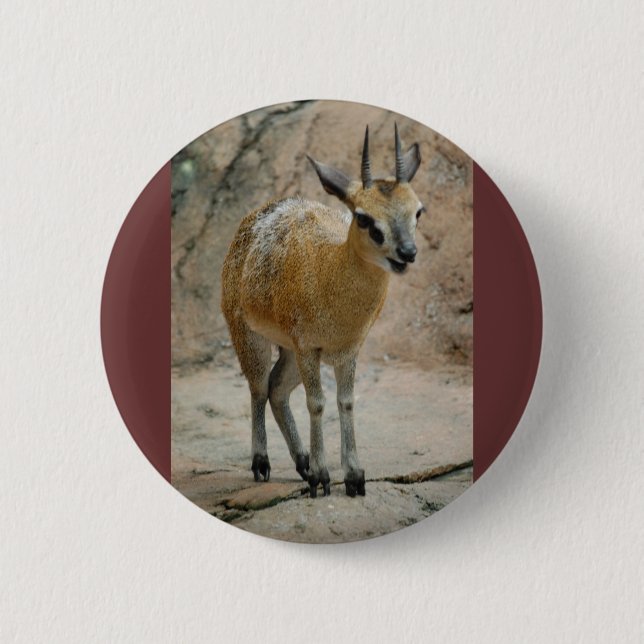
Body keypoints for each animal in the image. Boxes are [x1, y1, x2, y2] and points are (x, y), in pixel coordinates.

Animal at [221, 125, 424, 497]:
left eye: (418, 210)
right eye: (364, 217)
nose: (407, 252)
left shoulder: (348, 349)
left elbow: (346, 401)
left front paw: (354, 476)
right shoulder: (308, 347)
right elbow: (317, 403)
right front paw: (322, 476)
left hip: (287, 349)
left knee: (276, 388)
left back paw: (301, 462)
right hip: (249, 334)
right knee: (258, 386)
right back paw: (263, 463)